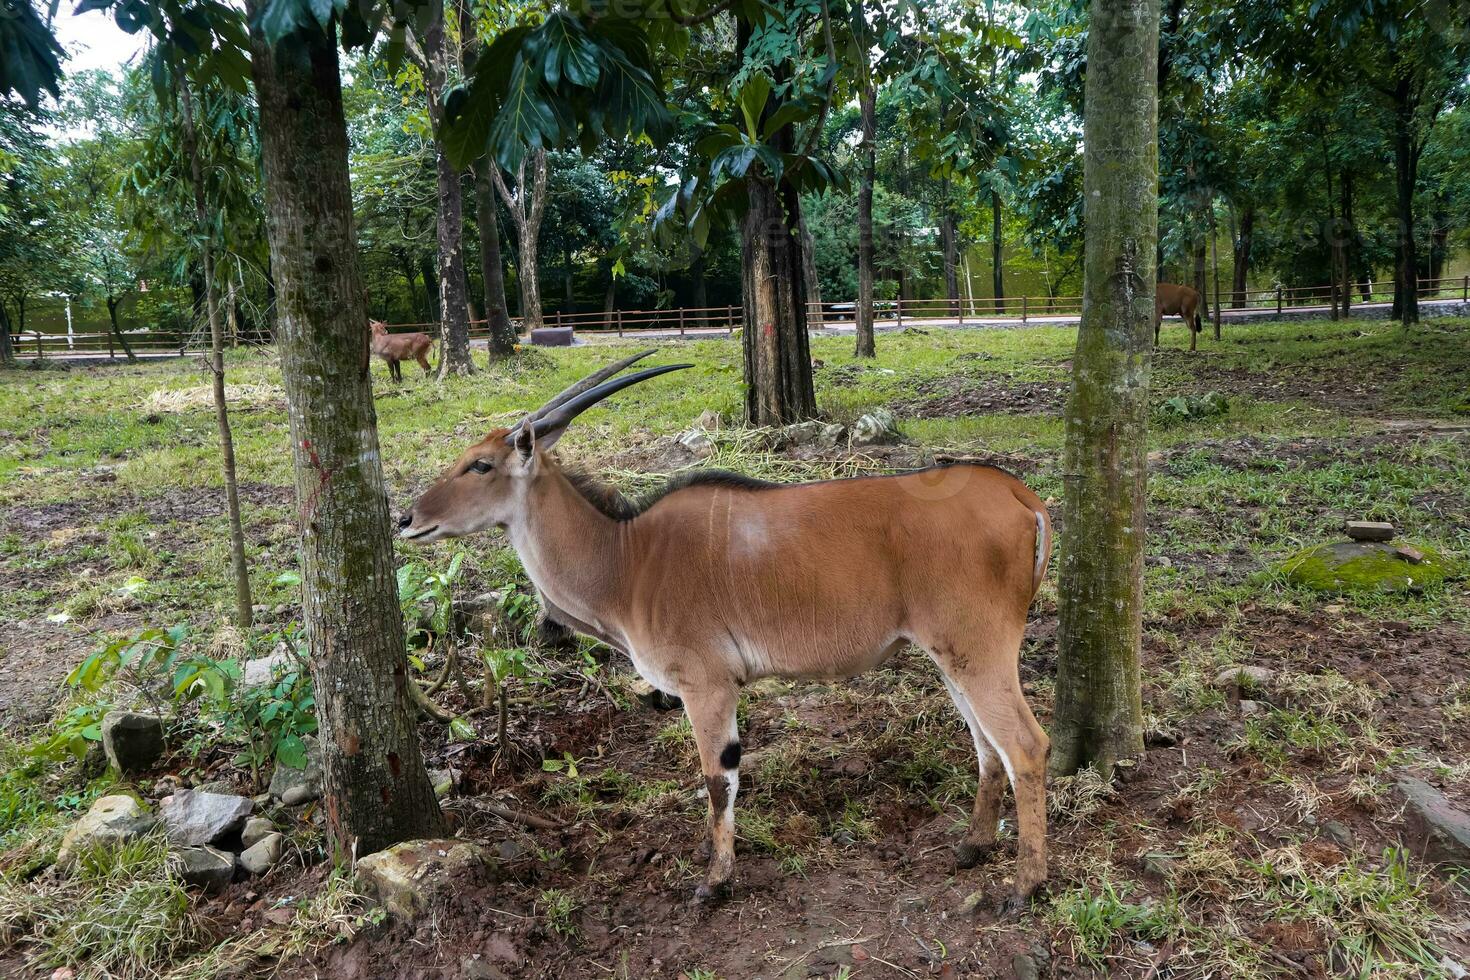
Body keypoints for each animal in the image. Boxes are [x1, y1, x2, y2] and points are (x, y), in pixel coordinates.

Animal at [396, 357, 1052, 910]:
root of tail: (1021, 495)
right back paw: (972, 847)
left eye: (481, 464)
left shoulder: (706, 686)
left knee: (1024, 745)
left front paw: (714, 882)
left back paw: (1026, 886)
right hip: (951, 659)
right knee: (987, 747)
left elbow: (717, 781)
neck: (629, 558)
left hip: (980, 655)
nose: (406, 519)